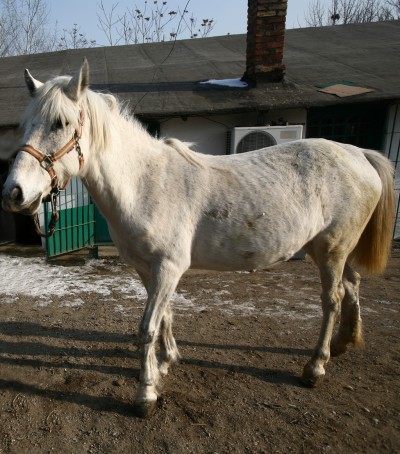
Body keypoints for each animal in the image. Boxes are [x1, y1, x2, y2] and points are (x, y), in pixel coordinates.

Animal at [1, 61, 396, 418]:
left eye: (61, 123)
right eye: (25, 125)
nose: (13, 193)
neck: (145, 183)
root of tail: (359, 154)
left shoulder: (168, 268)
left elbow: (147, 328)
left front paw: (146, 394)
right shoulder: (149, 269)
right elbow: (164, 316)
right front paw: (166, 362)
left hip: (332, 249)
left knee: (332, 299)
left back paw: (315, 368)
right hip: (329, 249)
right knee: (353, 285)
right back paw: (345, 342)